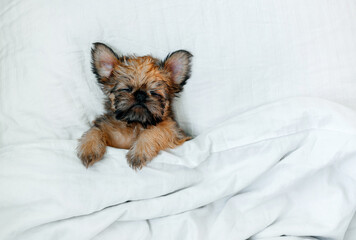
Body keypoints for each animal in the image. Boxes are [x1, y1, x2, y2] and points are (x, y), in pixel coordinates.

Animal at [77, 43, 192, 171]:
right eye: (126, 89)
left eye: (154, 93)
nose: (140, 95)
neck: (134, 124)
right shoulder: (104, 126)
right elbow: (95, 130)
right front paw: (89, 149)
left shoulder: (172, 131)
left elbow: (153, 132)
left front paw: (139, 153)